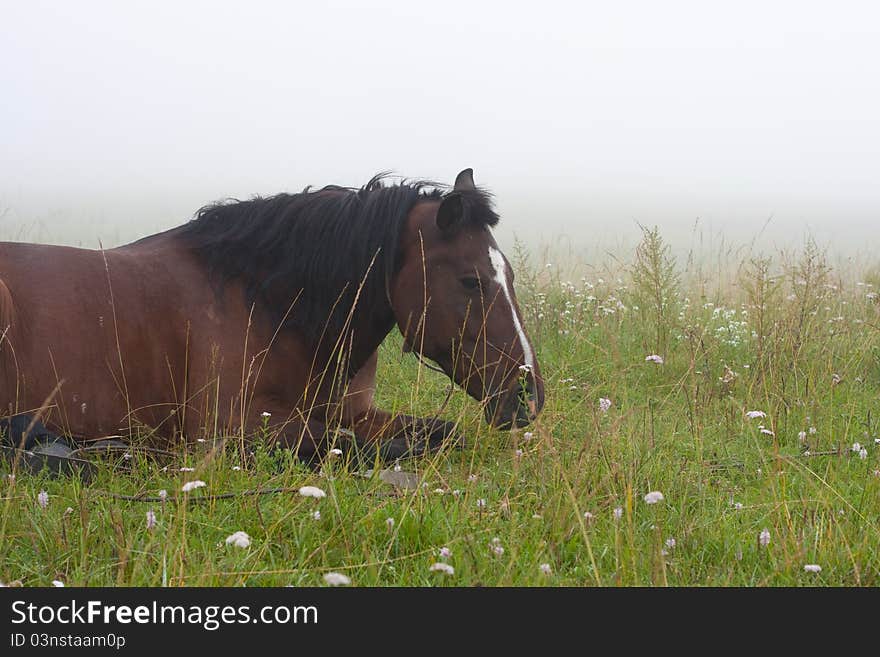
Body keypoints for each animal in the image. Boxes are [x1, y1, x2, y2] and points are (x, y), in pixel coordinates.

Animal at [0, 167, 544, 468]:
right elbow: (344, 444)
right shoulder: (233, 428)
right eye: (471, 281)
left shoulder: (358, 412)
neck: (271, 304)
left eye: (510, 274)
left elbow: (442, 433)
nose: (528, 396)